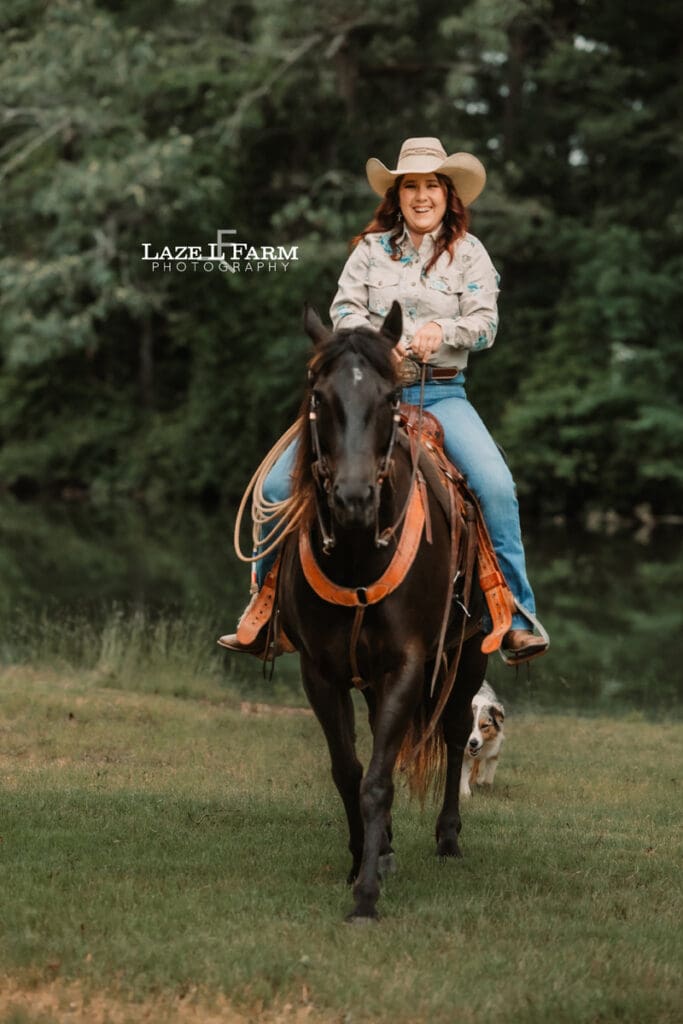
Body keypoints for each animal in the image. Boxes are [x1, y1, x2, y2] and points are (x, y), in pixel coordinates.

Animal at [277, 301, 488, 921]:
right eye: (319, 394)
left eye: (390, 397)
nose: (353, 500)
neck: (357, 558)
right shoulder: (321, 673)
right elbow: (351, 771)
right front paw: (362, 862)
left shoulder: (409, 665)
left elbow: (377, 780)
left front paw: (366, 896)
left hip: (469, 655)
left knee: (457, 732)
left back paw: (448, 839)